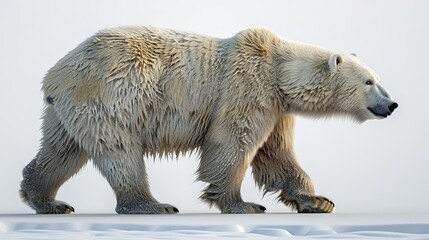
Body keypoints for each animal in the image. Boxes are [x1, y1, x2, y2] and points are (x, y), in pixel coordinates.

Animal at [20, 26, 396, 214]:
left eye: (378, 77)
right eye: (369, 81)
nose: (392, 104)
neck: (279, 69)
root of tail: (56, 73)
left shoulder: (276, 107)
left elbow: (277, 155)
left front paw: (318, 201)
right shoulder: (246, 85)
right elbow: (232, 142)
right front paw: (241, 204)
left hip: (69, 109)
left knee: (61, 150)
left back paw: (46, 200)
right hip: (113, 95)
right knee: (119, 151)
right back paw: (151, 205)